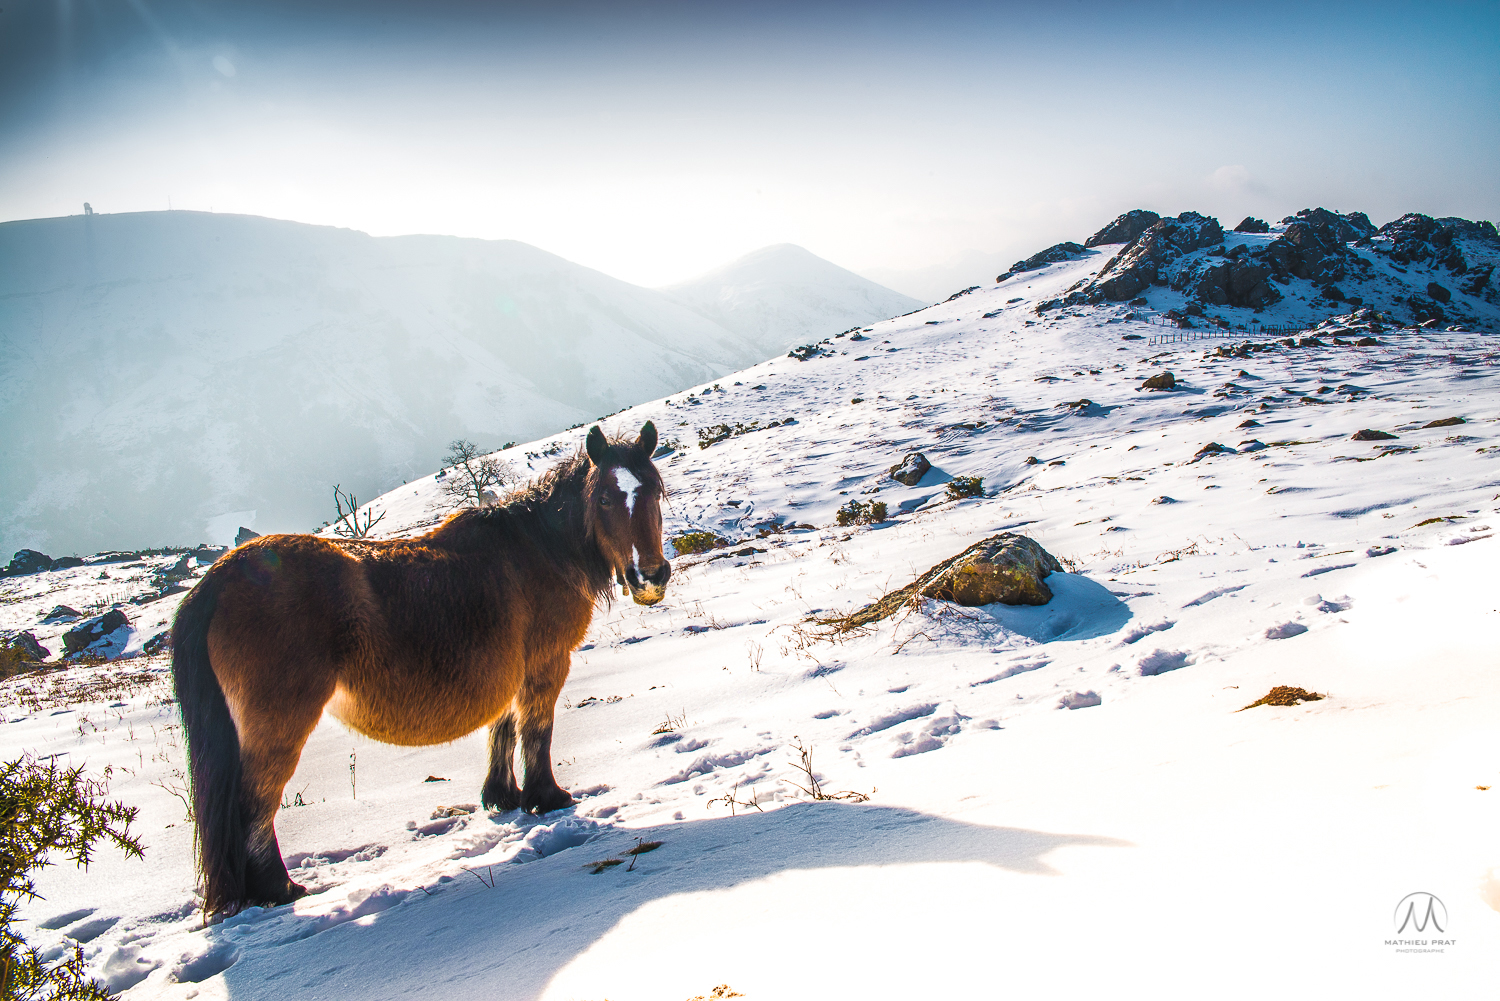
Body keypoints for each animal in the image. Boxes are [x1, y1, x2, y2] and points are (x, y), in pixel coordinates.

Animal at [170, 423, 669, 918]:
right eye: (605, 499)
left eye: (654, 491)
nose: (650, 577)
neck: (536, 550)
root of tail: (219, 579)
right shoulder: (544, 665)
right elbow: (535, 732)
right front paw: (546, 799)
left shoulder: (512, 672)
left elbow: (502, 729)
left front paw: (501, 798)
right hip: (279, 723)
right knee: (255, 802)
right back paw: (280, 889)